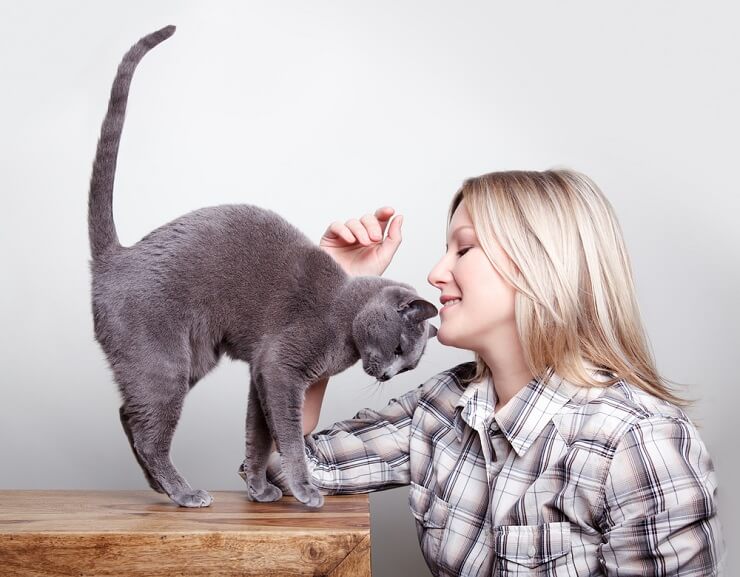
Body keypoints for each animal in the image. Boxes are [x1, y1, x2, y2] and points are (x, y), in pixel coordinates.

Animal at [86, 24, 436, 506]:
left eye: (408, 369)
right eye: (401, 350)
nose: (386, 375)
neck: (344, 320)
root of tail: (116, 257)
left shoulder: (260, 375)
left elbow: (258, 436)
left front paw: (258, 488)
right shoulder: (280, 369)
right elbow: (286, 436)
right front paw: (304, 489)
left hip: (190, 360)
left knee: (127, 414)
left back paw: (161, 487)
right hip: (165, 364)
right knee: (147, 433)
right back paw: (183, 492)